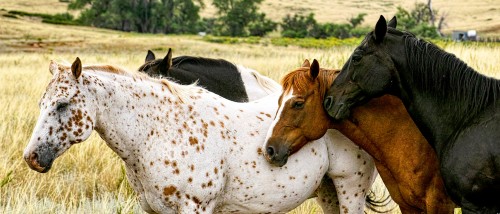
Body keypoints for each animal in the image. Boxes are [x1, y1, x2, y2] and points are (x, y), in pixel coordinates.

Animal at [23, 57, 376, 213]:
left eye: (63, 104)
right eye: (42, 104)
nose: (32, 157)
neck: (159, 132)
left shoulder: (196, 208)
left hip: (350, 192)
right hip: (328, 194)